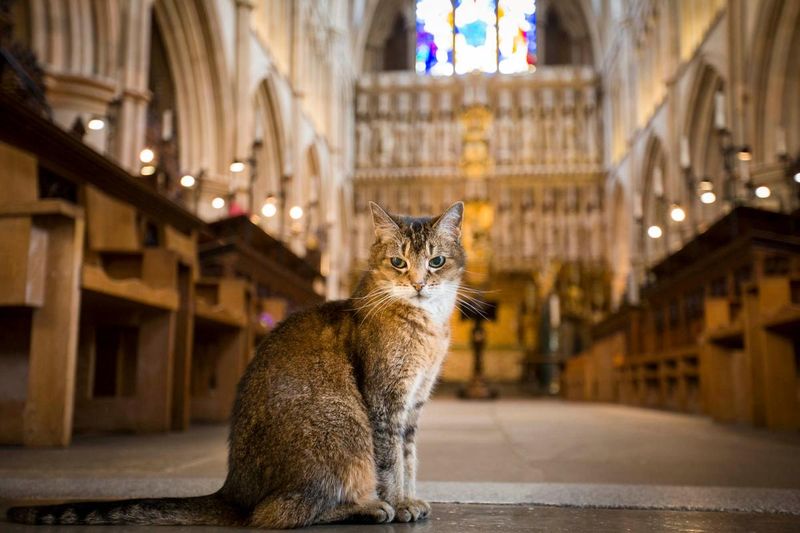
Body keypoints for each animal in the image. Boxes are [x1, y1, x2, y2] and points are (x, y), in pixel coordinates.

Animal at [6, 201, 466, 528]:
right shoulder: (386, 403)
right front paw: (397, 503)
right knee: (274, 515)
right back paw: (366, 508)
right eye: (398, 263)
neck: (427, 325)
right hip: (344, 429)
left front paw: (410, 497)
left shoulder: (413, 405)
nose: (419, 284)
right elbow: (390, 462)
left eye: (436, 262)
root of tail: (232, 491)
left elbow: (409, 459)